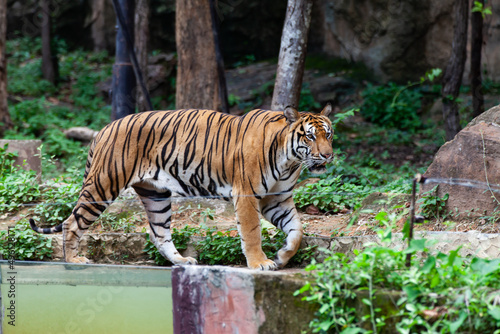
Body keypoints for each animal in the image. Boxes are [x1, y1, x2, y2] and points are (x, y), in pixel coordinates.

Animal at [29, 105, 334, 270]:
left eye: (328, 134)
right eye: (310, 137)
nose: (328, 155)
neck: (290, 161)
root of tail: (104, 129)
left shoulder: (277, 199)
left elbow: (297, 231)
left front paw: (282, 256)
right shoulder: (247, 195)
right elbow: (251, 233)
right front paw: (260, 263)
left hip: (156, 195)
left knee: (159, 234)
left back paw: (182, 262)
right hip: (104, 185)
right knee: (72, 223)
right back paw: (74, 260)